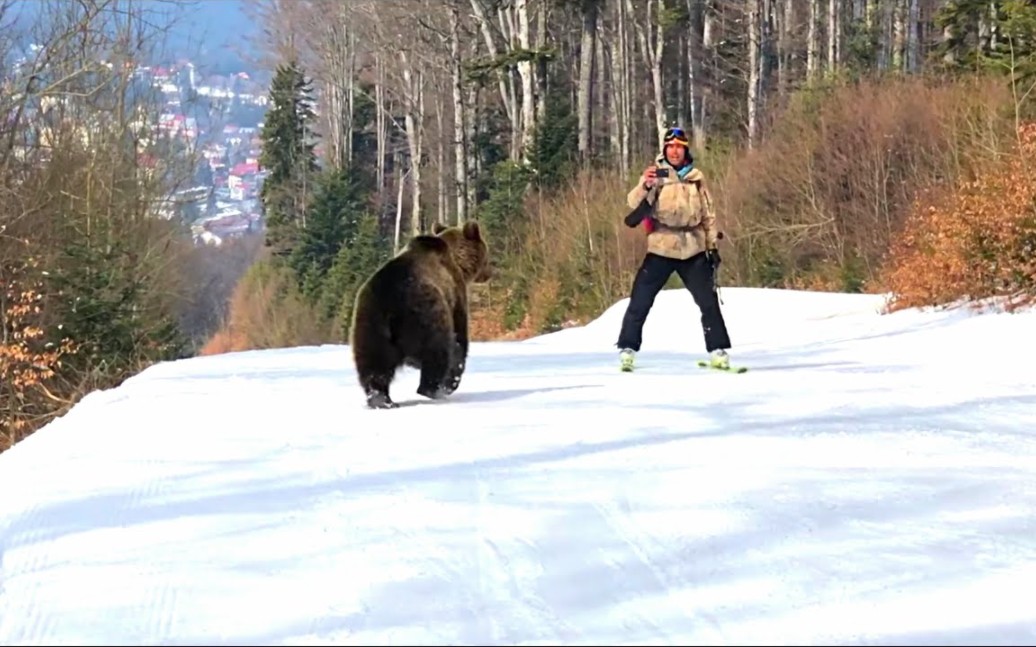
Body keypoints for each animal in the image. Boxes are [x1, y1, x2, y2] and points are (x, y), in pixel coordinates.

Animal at [350, 219, 491, 405]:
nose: (489, 273)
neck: (458, 262)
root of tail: (390, 301)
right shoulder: (455, 293)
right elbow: (460, 336)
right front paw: (452, 379)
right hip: (425, 314)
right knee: (437, 352)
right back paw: (435, 390)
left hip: (368, 322)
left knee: (373, 365)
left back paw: (382, 400)